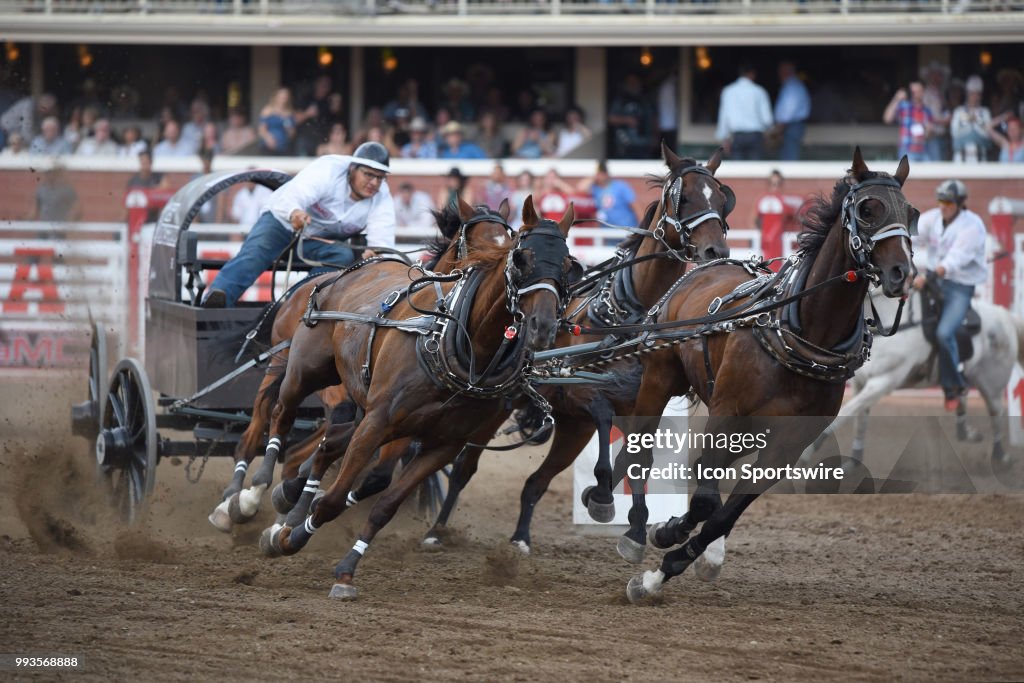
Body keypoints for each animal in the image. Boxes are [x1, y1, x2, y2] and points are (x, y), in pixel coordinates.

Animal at [206, 197, 512, 528]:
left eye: (510, 243)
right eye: (474, 243)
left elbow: (369, 468)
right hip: (287, 364)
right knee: (266, 419)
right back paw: (239, 497)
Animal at [256, 196, 577, 598]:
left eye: (568, 265)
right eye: (521, 257)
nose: (543, 327)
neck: (454, 342)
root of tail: (351, 270)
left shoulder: (442, 444)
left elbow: (385, 504)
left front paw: (345, 570)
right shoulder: (379, 423)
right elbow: (332, 499)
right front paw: (289, 539)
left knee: (326, 446)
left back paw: (287, 501)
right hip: (305, 371)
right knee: (280, 413)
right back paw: (254, 491)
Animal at [419, 144, 733, 557]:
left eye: (721, 199)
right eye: (685, 197)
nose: (716, 249)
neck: (626, 321)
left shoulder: (640, 404)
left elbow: (637, 458)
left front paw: (632, 523)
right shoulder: (580, 395)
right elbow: (605, 422)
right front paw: (603, 498)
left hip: (568, 430)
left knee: (535, 483)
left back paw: (521, 538)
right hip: (497, 412)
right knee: (463, 468)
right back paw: (436, 530)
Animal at [622, 149, 921, 602]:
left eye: (912, 213)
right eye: (868, 210)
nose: (901, 273)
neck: (804, 331)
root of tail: (704, 267)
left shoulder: (786, 446)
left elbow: (725, 513)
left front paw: (672, 564)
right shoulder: (726, 412)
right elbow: (706, 499)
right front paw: (664, 542)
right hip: (660, 378)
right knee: (639, 453)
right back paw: (636, 530)